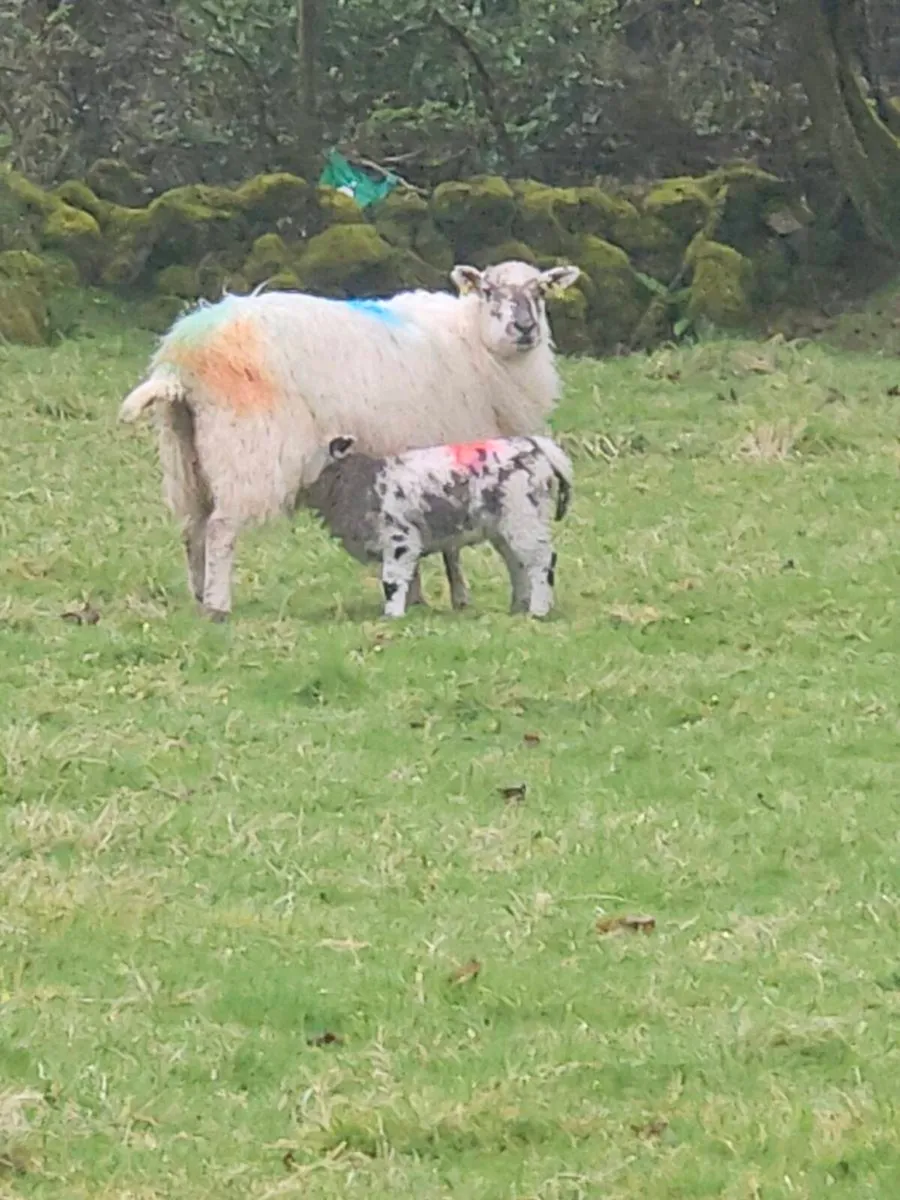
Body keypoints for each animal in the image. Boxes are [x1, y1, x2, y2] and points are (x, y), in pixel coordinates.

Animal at [298, 433, 574, 618]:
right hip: (506, 527)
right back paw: (519, 607)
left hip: (525, 517)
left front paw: (392, 615)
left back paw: (538, 611)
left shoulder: (401, 539)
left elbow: (393, 579)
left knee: (541, 560)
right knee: (518, 563)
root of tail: (536, 446)